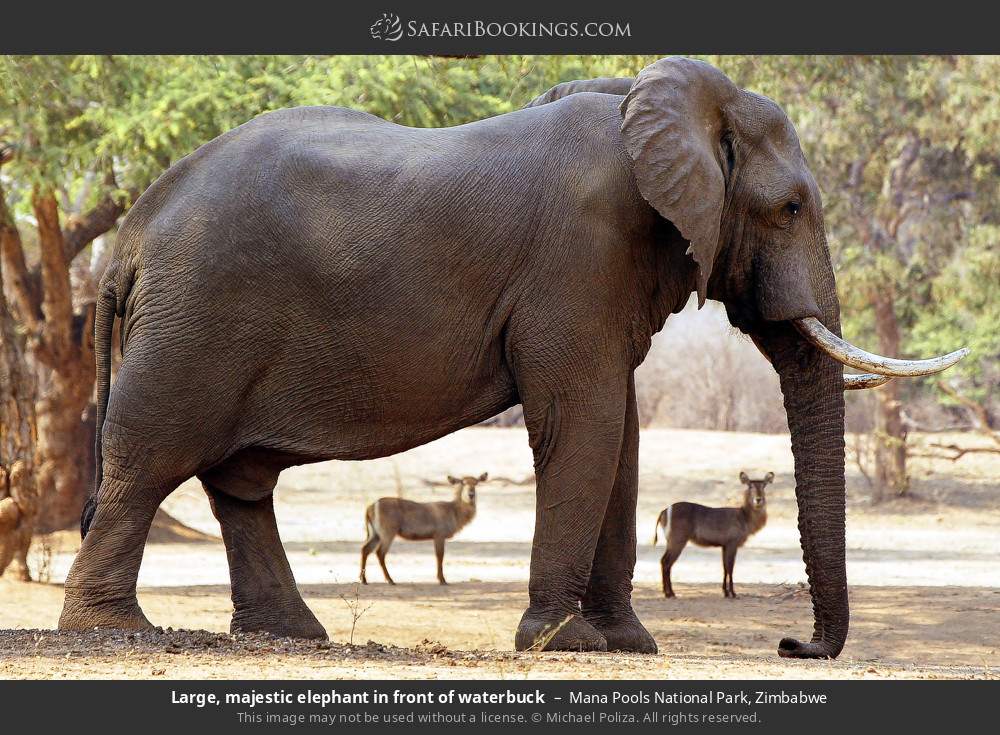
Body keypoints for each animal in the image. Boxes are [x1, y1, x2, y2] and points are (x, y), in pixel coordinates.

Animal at [59, 57, 966, 658]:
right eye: (791, 208)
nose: (791, 646)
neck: (648, 101)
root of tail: (129, 234)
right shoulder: (579, 256)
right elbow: (584, 425)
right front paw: (567, 642)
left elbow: (621, 435)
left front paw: (629, 643)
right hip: (196, 320)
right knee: (151, 454)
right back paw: (115, 629)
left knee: (239, 483)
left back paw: (292, 635)